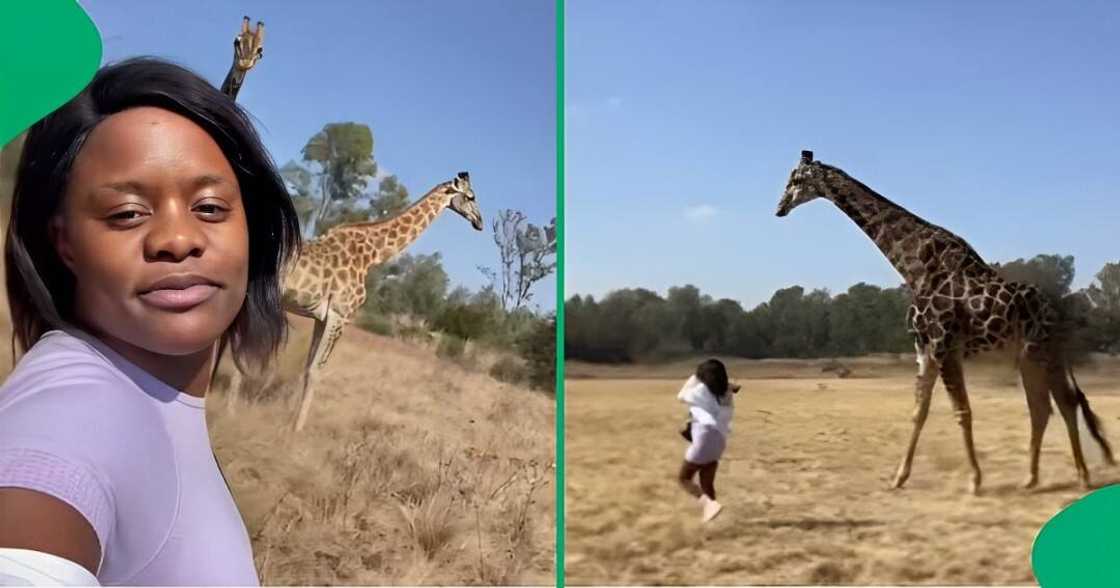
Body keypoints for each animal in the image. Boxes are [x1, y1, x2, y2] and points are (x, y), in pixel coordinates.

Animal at [211, 173, 483, 432]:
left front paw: (289, 419)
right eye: (470, 196)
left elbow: (308, 367)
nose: (479, 222)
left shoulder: (322, 317)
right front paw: (297, 428)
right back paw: (228, 410)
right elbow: (316, 370)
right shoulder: (340, 315)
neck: (374, 255)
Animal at [776, 150, 1114, 494]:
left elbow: (961, 411)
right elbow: (918, 412)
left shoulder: (943, 345)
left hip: (1041, 350)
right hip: (1029, 355)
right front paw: (899, 477)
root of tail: (1056, 312)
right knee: (1044, 406)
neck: (912, 268)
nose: (779, 208)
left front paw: (975, 480)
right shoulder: (924, 349)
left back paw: (1082, 476)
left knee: (1063, 402)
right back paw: (1031, 478)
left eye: (795, 180)